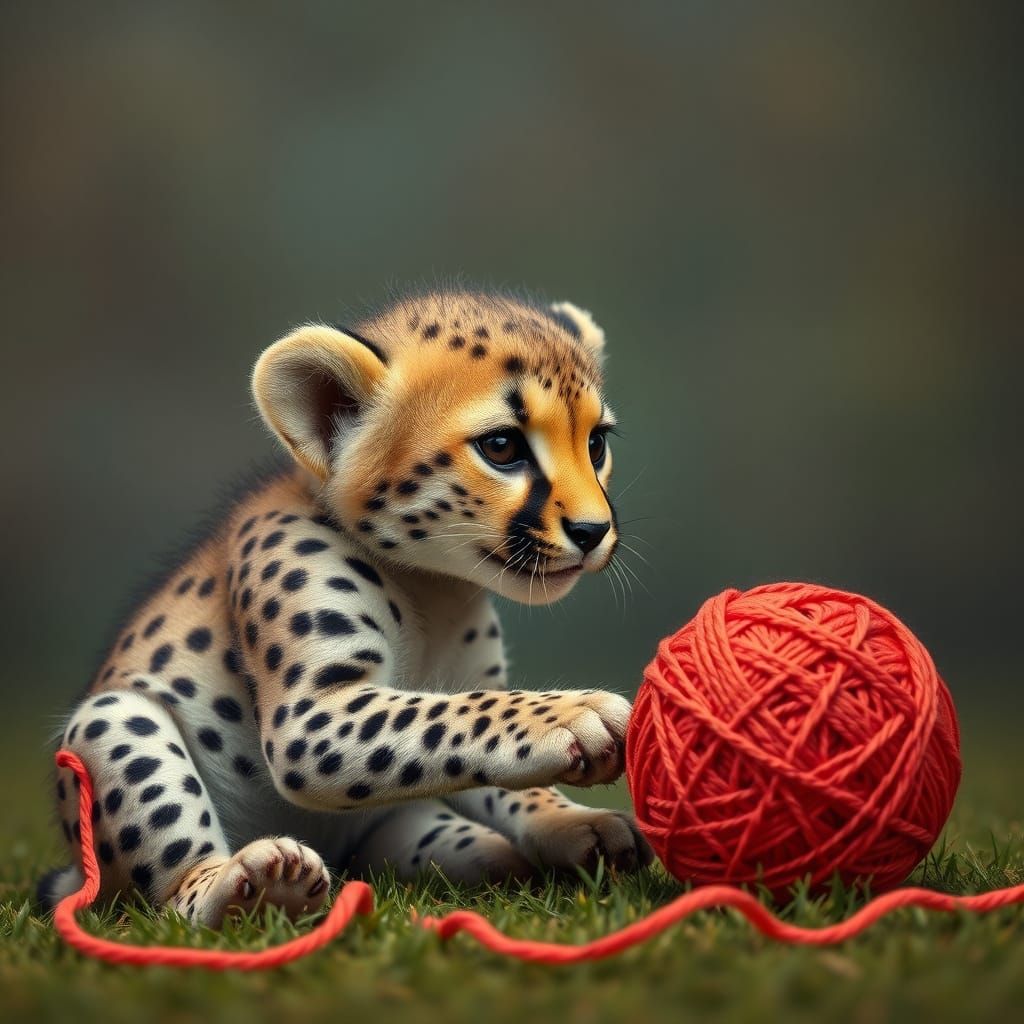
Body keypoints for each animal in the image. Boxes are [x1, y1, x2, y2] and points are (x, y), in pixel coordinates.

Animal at [38, 287, 653, 928]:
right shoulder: (310, 719)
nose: (593, 531)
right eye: (502, 446)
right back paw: (249, 886)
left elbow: (501, 770)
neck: (433, 585)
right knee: (173, 898)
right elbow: (459, 715)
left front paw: (575, 820)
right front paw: (573, 713)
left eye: (595, 444)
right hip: (112, 720)